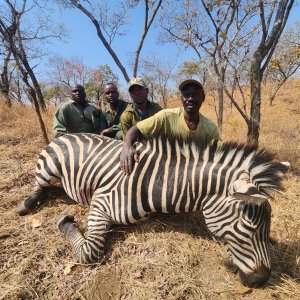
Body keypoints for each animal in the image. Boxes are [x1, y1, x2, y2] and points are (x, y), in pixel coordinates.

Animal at [15, 134, 288, 288]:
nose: (262, 281)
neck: (158, 183)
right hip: (48, 168)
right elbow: (89, 253)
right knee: (38, 185)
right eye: (250, 227)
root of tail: (68, 134)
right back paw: (27, 204)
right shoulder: (100, 204)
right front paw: (65, 222)